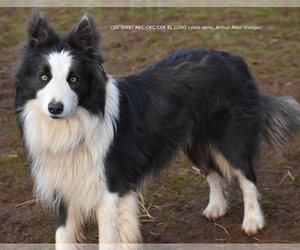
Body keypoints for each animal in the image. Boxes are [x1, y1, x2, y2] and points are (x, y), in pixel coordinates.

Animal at [14, 11, 300, 244]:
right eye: (44, 77)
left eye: (73, 79)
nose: (55, 108)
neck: (76, 125)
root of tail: (234, 58)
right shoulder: (65, 190)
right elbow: (63, 237)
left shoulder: (110, 191)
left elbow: (108, 239)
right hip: (194, 142)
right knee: (213, 172)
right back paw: (217, 206)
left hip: (231, 137)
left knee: (246, 175)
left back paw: (253, 221)